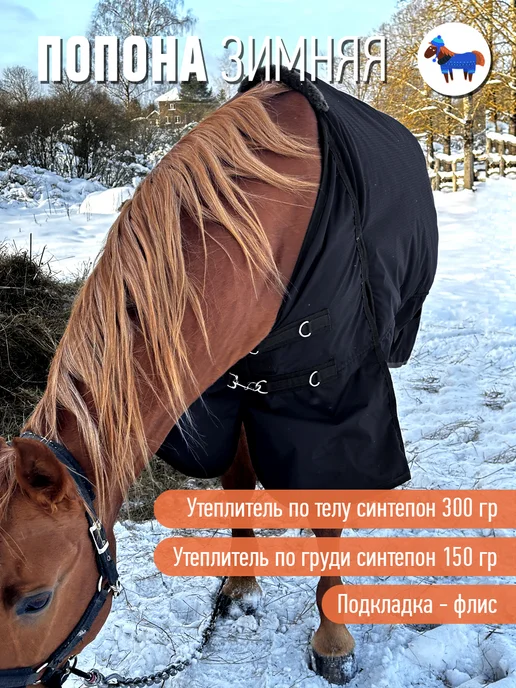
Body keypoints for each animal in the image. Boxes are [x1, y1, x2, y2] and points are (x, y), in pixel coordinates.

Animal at [0, 69, 438, 687]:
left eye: (36, 600)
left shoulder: (327, 395)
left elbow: (327, 503)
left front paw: (333, 639)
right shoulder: (219, 394)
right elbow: (236, 481)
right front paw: (241, 588)